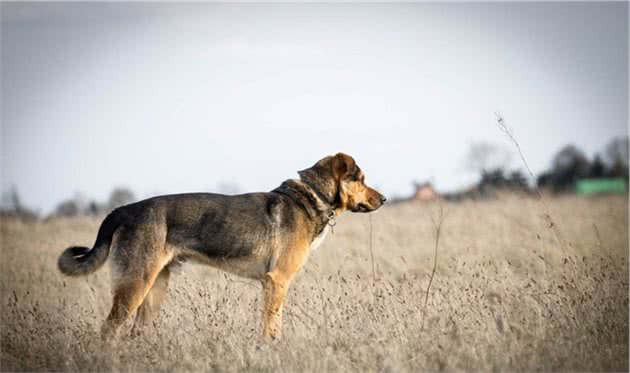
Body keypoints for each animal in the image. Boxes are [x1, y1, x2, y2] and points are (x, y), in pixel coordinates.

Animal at [59, 153, 386, 338]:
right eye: (361, 179)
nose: (383, 199)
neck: (313, 195)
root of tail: (123, 210)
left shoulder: (273, 284)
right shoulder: (277, 281)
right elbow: (271, 328)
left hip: (155, 288)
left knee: (134, 333)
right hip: (134, 285)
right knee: (108, 331)